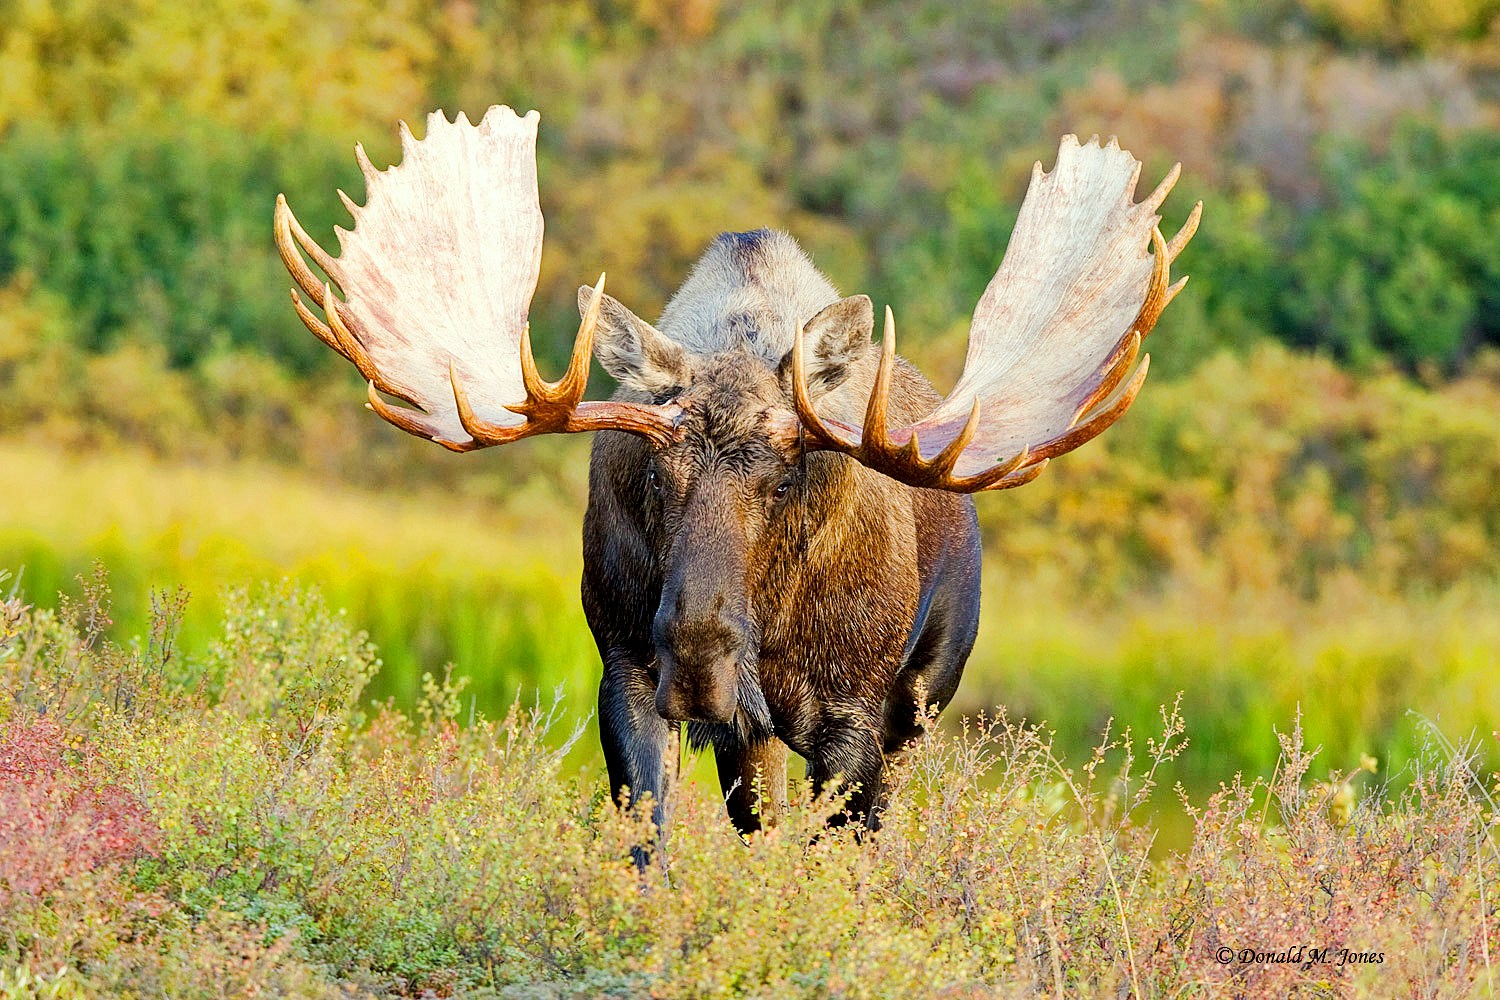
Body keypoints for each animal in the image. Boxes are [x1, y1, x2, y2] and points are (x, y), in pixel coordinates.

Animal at [274, 106, 1199, 852]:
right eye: (656, 472)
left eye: (787, 476)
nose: (698, 656)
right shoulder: (627, 671)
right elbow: (650, 840)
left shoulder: (855, 715)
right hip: (749, 731)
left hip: (923, 694)